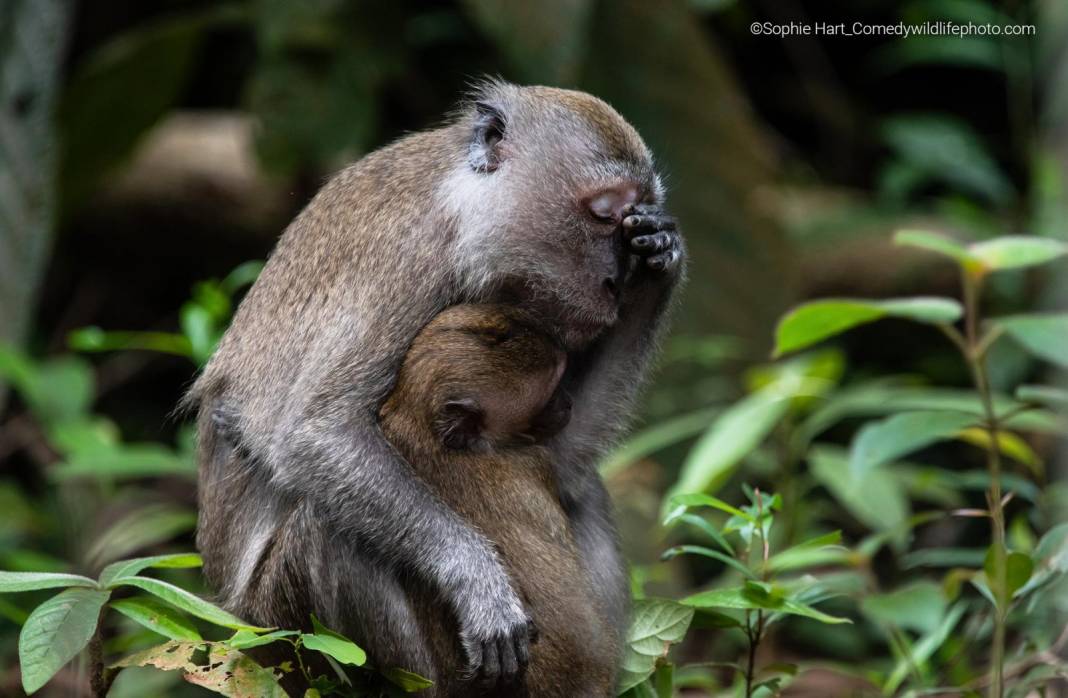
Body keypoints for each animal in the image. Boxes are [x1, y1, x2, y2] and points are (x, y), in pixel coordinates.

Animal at [187, 79, 687, 691]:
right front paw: (478, 583)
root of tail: (233, 621)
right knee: (330, 534)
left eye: (633, 221)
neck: (462, 208)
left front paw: (662, 257)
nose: (615, 281)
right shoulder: (410, 260)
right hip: (277, 635)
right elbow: (317, 433)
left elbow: (572, 455)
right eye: (604, 214)